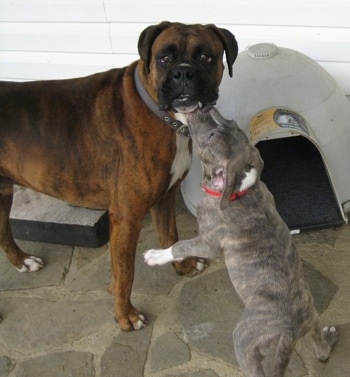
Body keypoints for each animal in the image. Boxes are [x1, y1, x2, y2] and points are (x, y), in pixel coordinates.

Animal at [0, 22, 238, 328]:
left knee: (4, 232)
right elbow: (125, 273)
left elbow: (169, 236)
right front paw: (126, 317)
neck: (162, 116)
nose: (183, 72)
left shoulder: (164, 199)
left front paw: (182, 266)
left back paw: (22, 261)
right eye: (164, 58)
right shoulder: (126, 216)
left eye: (206, 57)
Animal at [144, 106, 338, 376]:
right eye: (231, 123)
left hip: (244, 340)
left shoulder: (208, 243)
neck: (242, 188)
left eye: (212, 135)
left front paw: (155, 256)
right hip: (312, 317)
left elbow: (180, 247)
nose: (205, 107)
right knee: (320, 347)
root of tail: (290, 330)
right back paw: (328, 339)